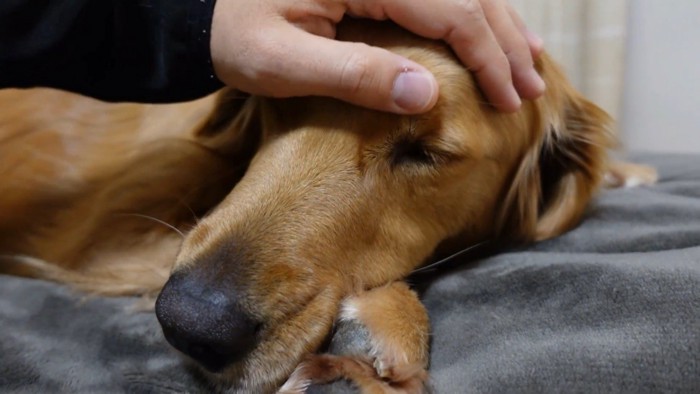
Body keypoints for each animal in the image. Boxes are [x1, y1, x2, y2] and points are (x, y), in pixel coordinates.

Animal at [0, 20, 656, 392]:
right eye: (279, 100)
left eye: (426, 152)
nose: (190, 325)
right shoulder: (111, 244)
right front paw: (391, 321)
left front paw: (631, 172)